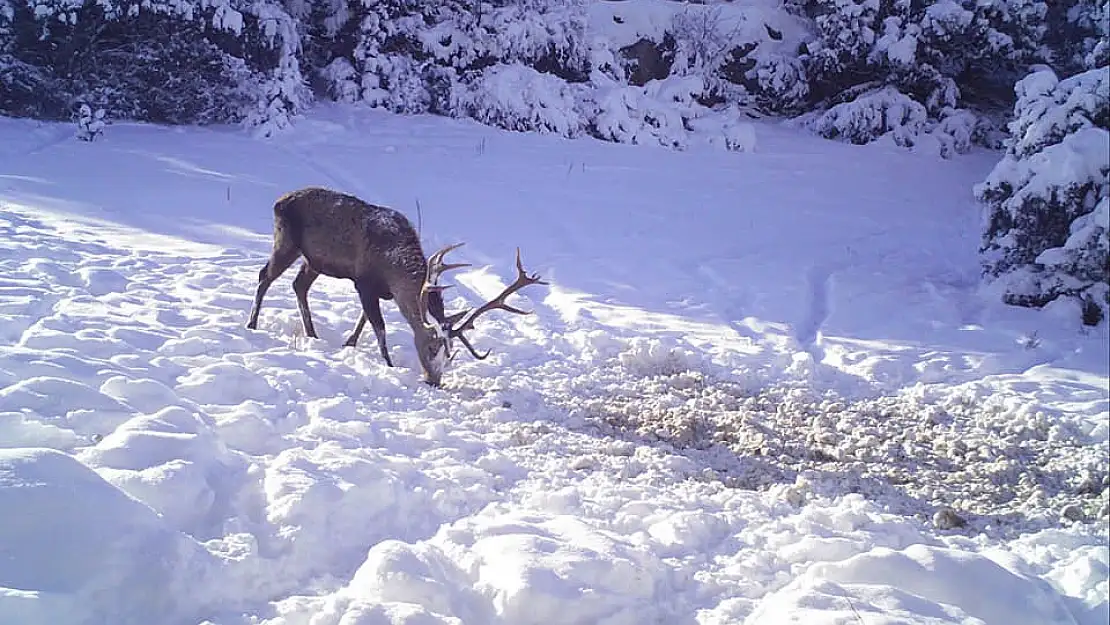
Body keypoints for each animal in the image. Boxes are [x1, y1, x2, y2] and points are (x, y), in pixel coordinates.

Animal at [248, 185, 550, 386]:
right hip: (286, 241)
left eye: (450, 353)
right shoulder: (363, 282)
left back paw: (312, 334)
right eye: (431, 347)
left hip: (313, 260)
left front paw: (349, 343)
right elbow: (379, 328)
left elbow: (363, 320)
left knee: (299, 285)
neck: (391, 265)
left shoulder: (381, 291)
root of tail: (279, 201)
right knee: (265, 276)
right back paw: (252, 324)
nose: (433, 381)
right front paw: (389, 364)